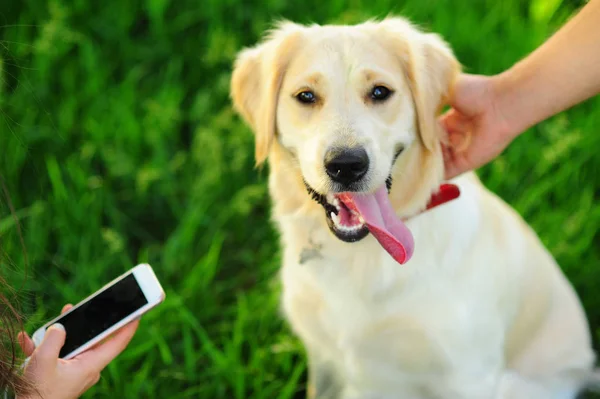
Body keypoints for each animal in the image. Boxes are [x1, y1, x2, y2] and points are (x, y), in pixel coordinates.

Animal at [231, 16, 600, 399]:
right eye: (306, 96)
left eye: (380, 92)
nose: (346, 165)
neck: (363, 255)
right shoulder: (324, 361)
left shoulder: (471, 376)